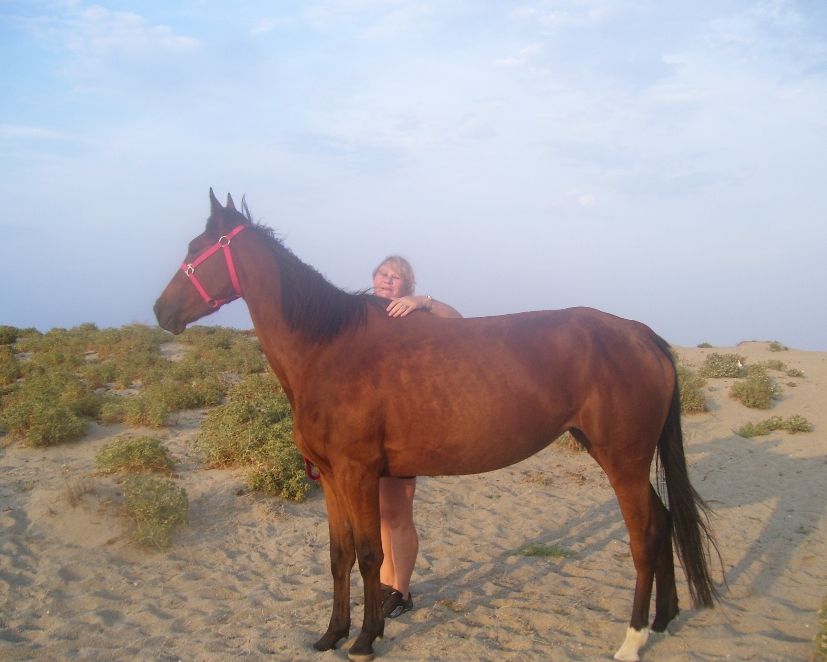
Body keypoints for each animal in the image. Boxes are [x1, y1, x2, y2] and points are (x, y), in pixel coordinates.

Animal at [154, 190, 721, 661]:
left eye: (198, 248)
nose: (161, 311)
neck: (329, 347)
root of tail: (642, 334)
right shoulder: (332, 477)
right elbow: (338, 555)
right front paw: (331, 633)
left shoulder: (358, 473)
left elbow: (369, 554)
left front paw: (365, 638)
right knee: (664, 522)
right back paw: (664, 619)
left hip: (622, 460)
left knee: (645, 536)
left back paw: (632, 641)